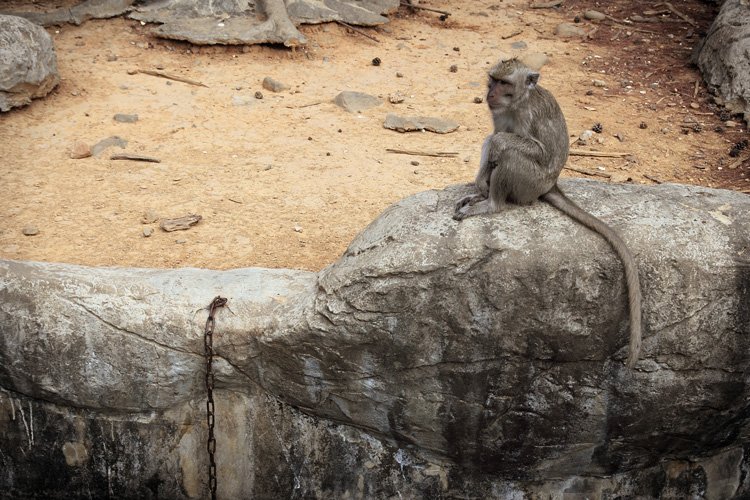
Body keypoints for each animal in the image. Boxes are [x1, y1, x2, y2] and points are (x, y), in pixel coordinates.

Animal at [456, 58, 644, 368]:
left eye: (504, 83)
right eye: (492, 80)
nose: (490, 94)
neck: (516, 103)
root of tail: (551, 184)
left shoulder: (529, 115)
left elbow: (523, 147)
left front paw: (496, 155)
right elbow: (493, 136)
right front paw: (481, 181)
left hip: (530, 183)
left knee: (512, 157)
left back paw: (491, 203)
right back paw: (483, 193)